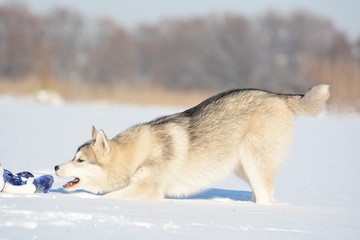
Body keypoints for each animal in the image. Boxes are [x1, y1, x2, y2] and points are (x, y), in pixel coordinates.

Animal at [54, 84, 330, 202]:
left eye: (80, 160)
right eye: (73, 157)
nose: (55, 167)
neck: (137, 156)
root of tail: (278, 96)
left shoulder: (147, 190)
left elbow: (109, 197)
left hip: (255, 164)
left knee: (266, 196)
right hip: (242, 168)